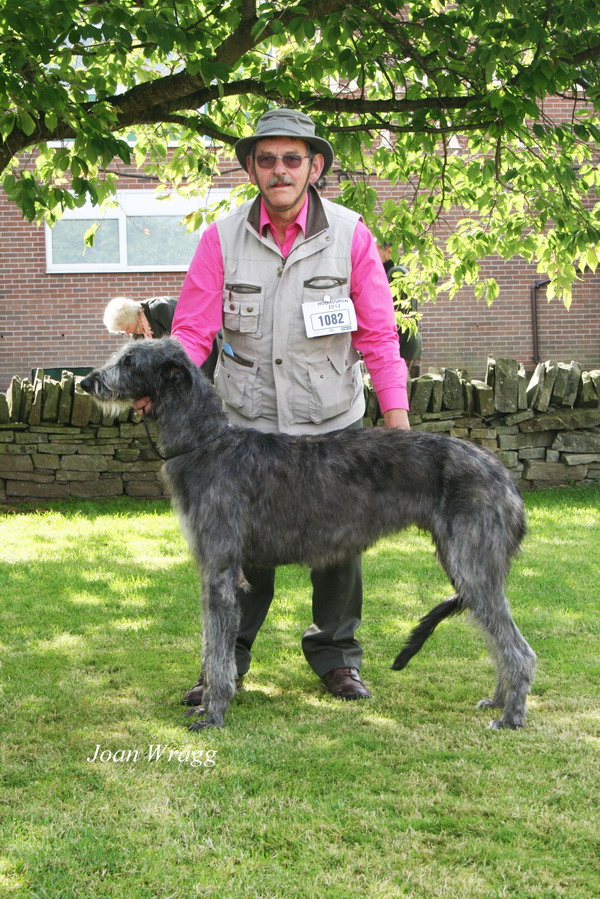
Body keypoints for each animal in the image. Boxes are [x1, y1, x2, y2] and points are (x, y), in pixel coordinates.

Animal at [82, 338, 536, 732]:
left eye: (129, 361)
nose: (86, 383)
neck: (209, 444)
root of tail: (504, 476)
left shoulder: (221, 573)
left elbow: (218, 653)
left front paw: (213, 714)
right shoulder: (220, 572)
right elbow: (215, 647)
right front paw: (208, 702)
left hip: (472, 564)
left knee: (519, 649)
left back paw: (511, 716)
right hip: (466, 566)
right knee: (500, 639)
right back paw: (498, 700)